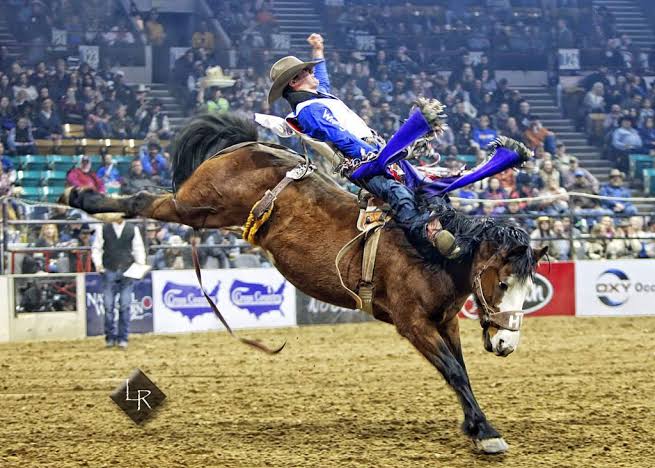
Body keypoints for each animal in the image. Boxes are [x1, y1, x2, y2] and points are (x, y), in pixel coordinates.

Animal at [64, 113, 548, 454]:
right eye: (503, 282)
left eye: (528, 289)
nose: (507, 344)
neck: (433, 251)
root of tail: (250, 143)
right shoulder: (413, 323)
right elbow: (452, 370)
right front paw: (486, 433)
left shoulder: (444, 322)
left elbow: (460, 371)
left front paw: (473, 424)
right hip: (195, 205)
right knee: (142, 200)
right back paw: (81, 197)